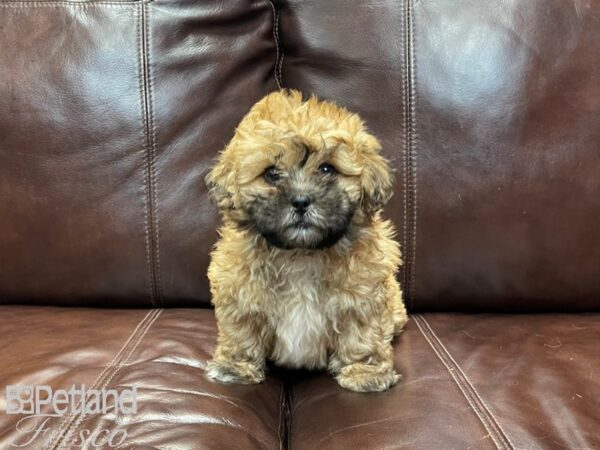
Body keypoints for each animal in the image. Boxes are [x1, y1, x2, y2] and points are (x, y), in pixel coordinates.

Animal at [204, 89, 406, 392]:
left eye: (327, 169)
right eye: (271, 173)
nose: (300, 201)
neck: (301, 253)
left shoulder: (363, 294)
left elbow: (361, 333)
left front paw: (364, 372)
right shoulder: (238, 289)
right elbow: (242, 329)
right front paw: (235, 367)